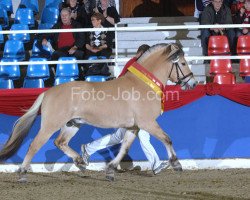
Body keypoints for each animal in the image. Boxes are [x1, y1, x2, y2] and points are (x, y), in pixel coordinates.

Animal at [0, 43, 197, 181]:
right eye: (183, 63)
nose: (193, 83)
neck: (143, 84)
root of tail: (48, 92)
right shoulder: (147, 123)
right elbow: (167, 138)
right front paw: (176, 164)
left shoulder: (133, 127)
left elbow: (124, 148)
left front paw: (110, 170)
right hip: (50, 125)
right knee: (34, 145)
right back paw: (22, 173)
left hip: (73, 124)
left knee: (60, 142)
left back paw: (80, 161)